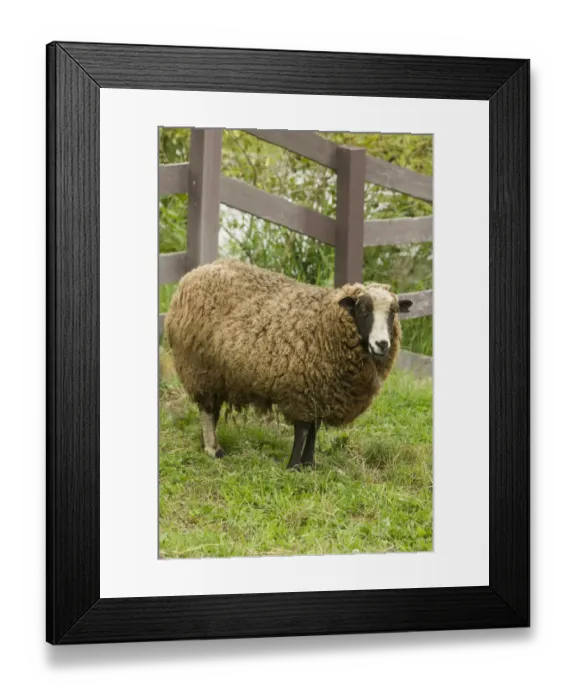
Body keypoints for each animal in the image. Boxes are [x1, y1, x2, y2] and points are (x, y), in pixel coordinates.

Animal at [164, 258, 413, 469]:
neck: (326, 325)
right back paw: (213, 449)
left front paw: (310, 464)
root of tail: (195, 272)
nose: (382, 344)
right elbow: (302, 430)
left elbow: (314, 430)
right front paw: (293, 466)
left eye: (394, 312)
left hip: (216, 373)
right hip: (200, 368)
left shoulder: (319, 395)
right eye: (362, 309)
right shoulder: (301, 393)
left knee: (212, 409)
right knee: (208, 411)